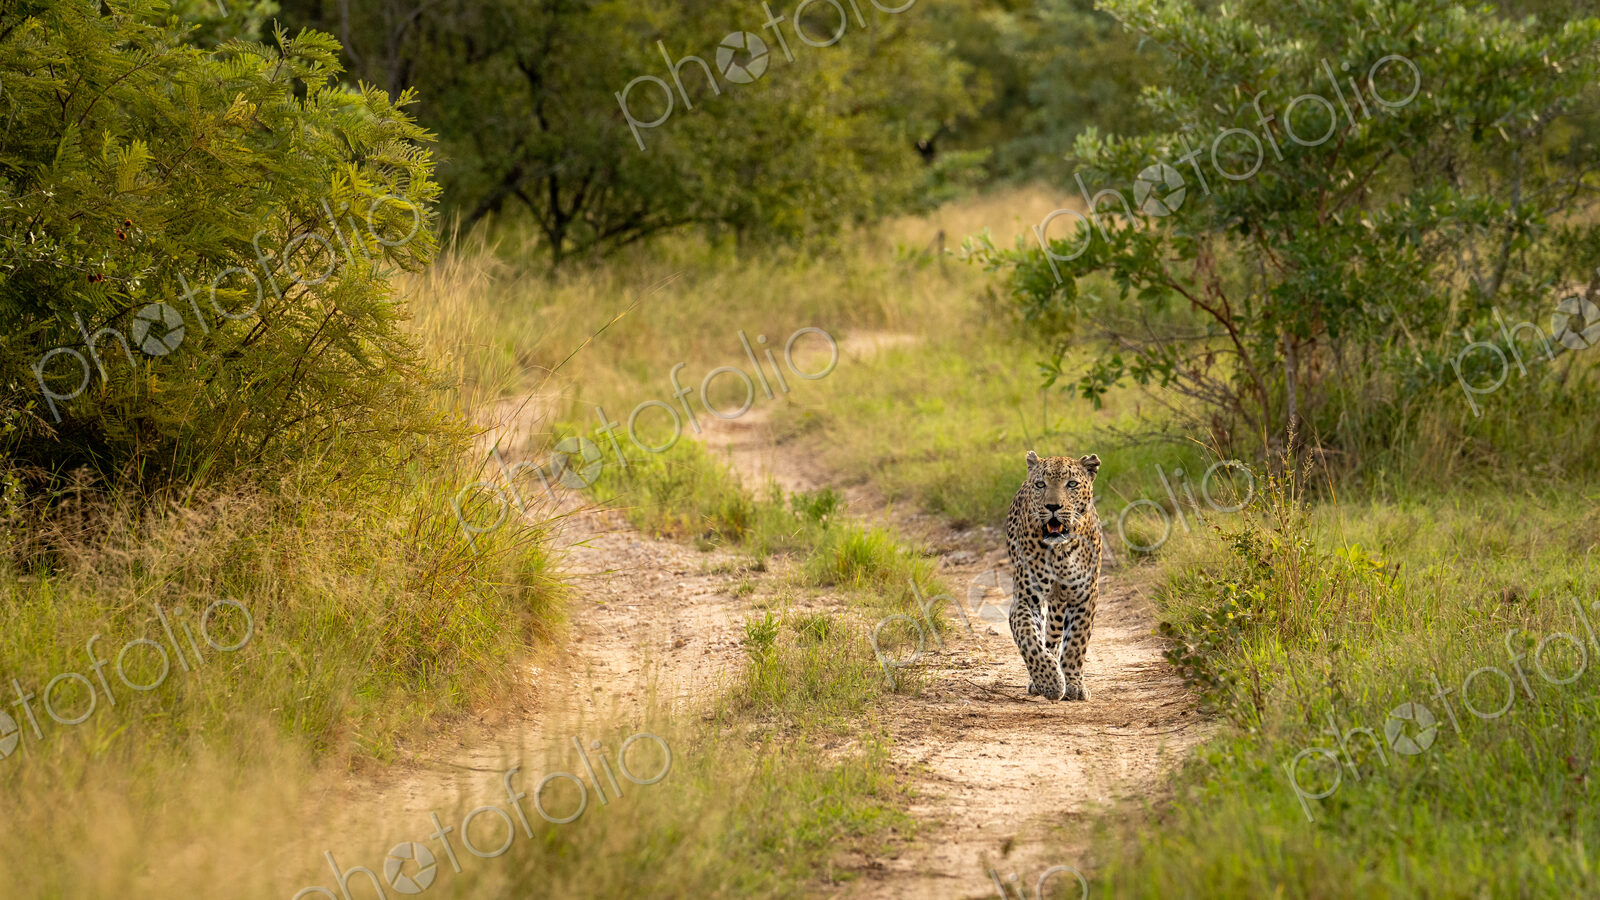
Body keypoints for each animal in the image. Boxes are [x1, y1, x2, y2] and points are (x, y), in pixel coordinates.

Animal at [1004, 450, 1102, 701]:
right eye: (1041, 484)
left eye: (1072, 484)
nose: (1052, 506)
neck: (1060, 552)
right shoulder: (1026, 599)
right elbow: (1029, 639)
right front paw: (1049, 682)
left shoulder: (1085, 596)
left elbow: (1076, 642)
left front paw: (1074, 684)